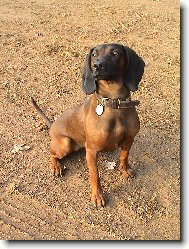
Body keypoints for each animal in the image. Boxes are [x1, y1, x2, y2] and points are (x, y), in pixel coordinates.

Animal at [32, 43, 145, 208]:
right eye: (94, 55)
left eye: (115, 53)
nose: (97, 65)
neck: (114, 104)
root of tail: (52, 125)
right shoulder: (91, 151)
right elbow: (95, 175)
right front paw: (97, 196)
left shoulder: (129, 140)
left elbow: (124, 157)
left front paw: (125, 170)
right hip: (65, 143)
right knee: (51, 153)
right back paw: (56, 166)